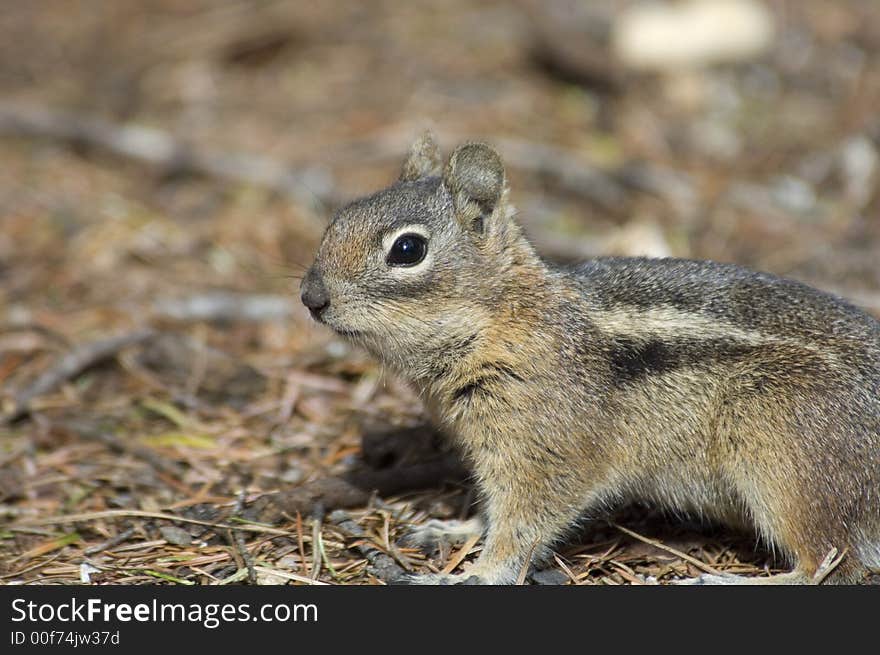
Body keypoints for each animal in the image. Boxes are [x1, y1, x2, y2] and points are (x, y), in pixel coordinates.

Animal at [302, 132, 880, 584]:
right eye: (338, 218)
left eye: (407, 250)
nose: (311, 298)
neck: (508, 321)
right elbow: (491, 509)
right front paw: (454, 529)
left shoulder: (545, 450)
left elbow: (524, 522)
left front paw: (473, 574)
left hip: (785, 461)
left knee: (830, 563)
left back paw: (723, 581)